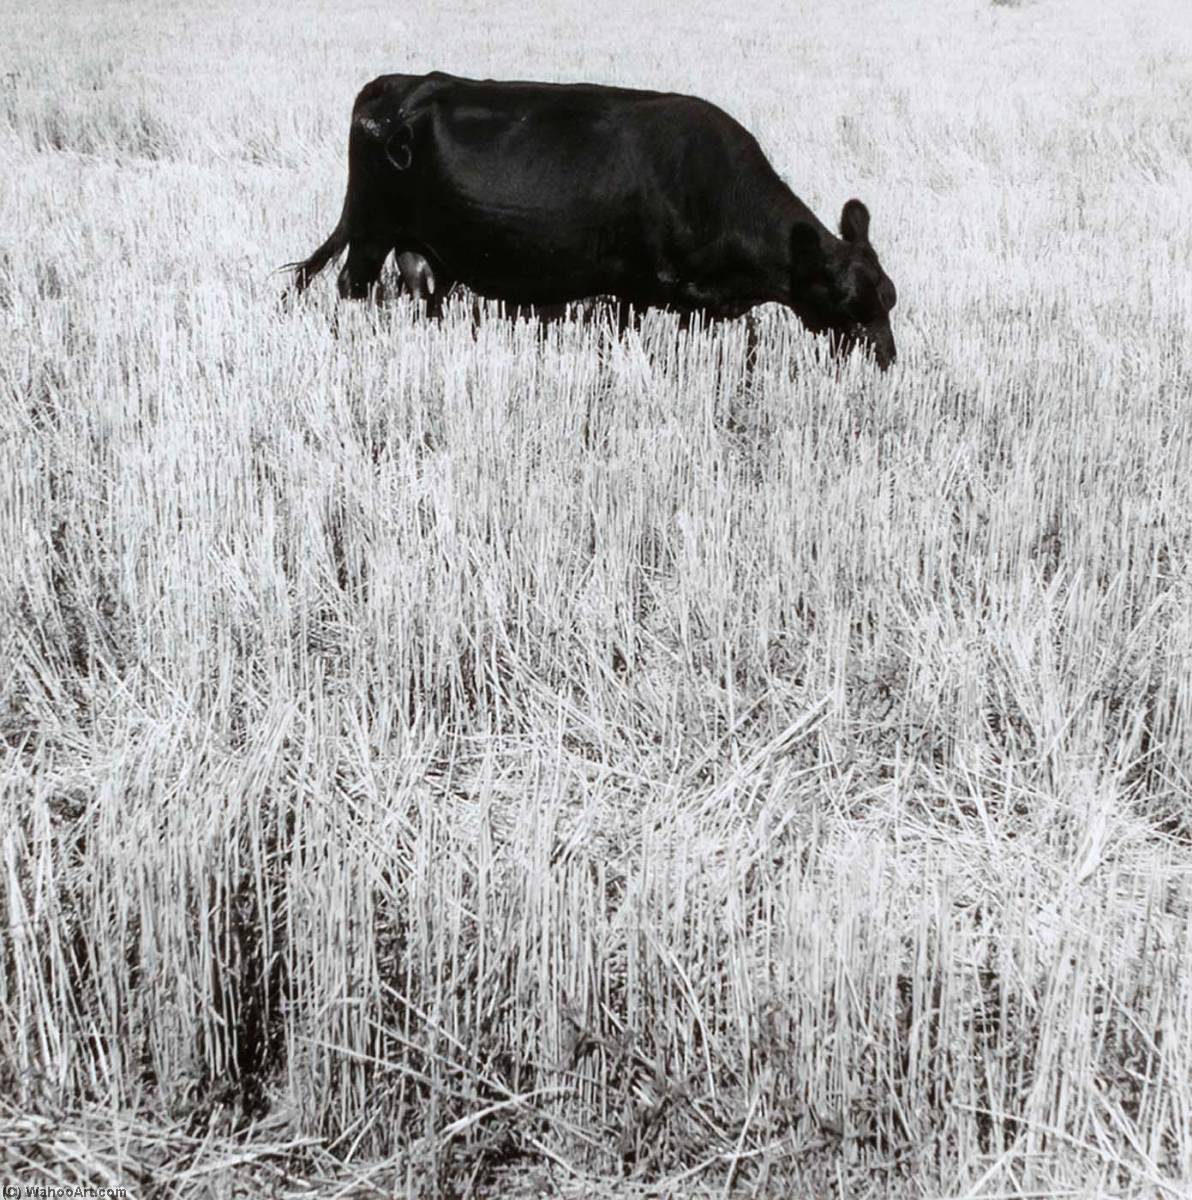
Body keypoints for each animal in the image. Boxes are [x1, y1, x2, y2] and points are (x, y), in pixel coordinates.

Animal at [286, 72, 898, 368]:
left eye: (889, 298)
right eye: (845, 302)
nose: (888, 362)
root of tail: (395, 85)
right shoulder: (636, 285)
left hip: (417, 242)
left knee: (423, 289)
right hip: (370, 229)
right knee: (351, 287)